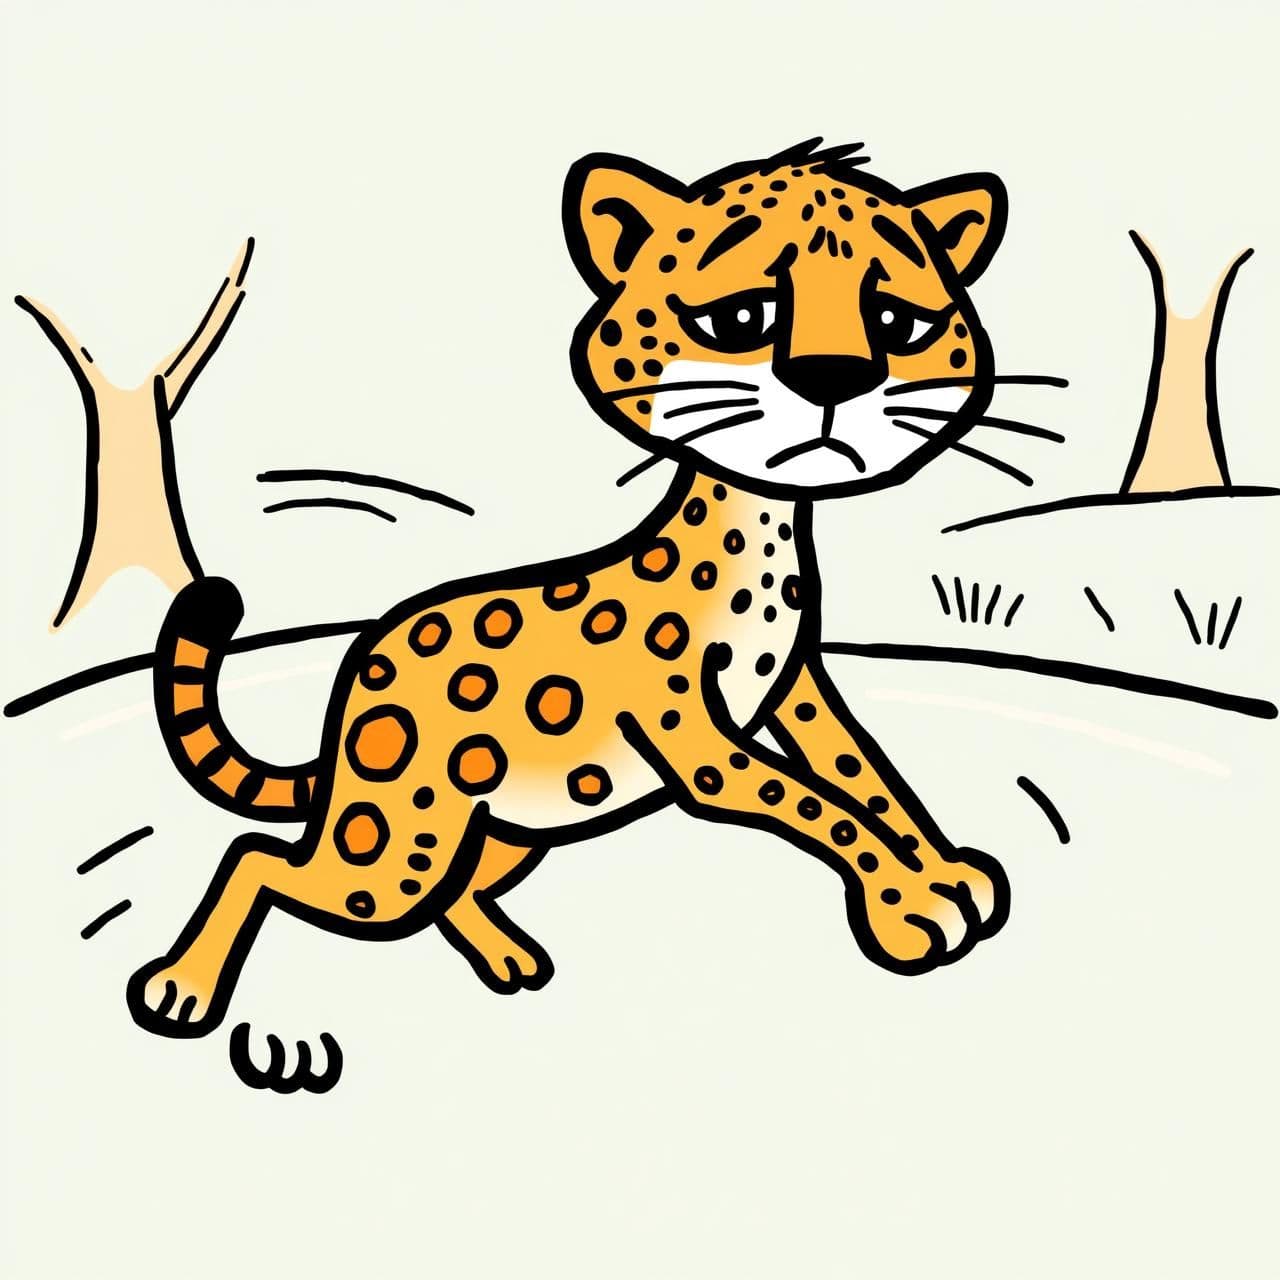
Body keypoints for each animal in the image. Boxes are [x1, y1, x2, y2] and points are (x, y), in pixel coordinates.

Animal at [129, 137, 1012, 1038]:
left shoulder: (794, 689)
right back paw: (182, 987)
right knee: (262, 860)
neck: (761, 527)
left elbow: (865, 773)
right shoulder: (699, 745)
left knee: (453, 889)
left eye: (898, 324)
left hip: (506, 828)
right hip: (394, 847)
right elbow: (814, 802)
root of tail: (366, 666)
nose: (832, 378)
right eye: (743, 321)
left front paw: (944, 874)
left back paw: (508, 958)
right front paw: (905, 902)